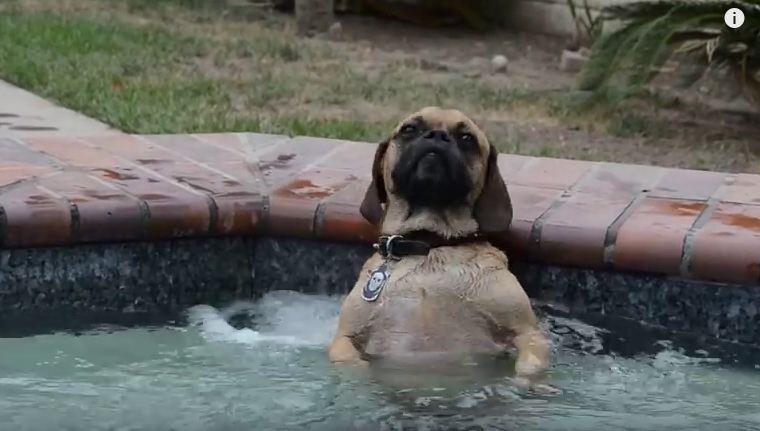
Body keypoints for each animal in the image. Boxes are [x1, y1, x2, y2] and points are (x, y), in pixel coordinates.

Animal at [330, 107, 548, 388]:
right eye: (409, 129)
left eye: (466, 138)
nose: (437, 136)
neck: (430, 242)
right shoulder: (346, 336)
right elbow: (347, 358)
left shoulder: (526, 331)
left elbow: (531, 363)